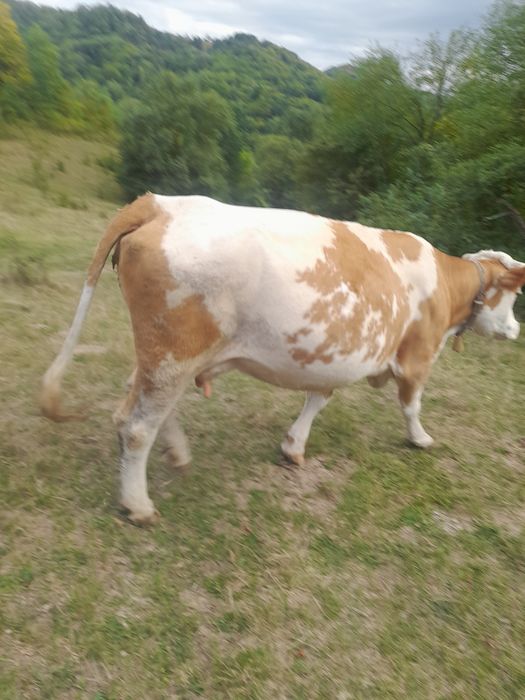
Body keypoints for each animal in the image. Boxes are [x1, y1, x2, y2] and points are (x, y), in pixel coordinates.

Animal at [41, 194, 525, 525]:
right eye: (513, 296)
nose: (516, 329)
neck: (445, 283)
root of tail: (163, 203)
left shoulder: (333, 354)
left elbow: (319, 397)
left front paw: (293, 447)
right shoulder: (417, 356)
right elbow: (411, 404)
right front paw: (420, 439)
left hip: (164, 356)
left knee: (141, 403)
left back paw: (176, 455)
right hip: (174, 354)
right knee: (137, 424)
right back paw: (138, 504)